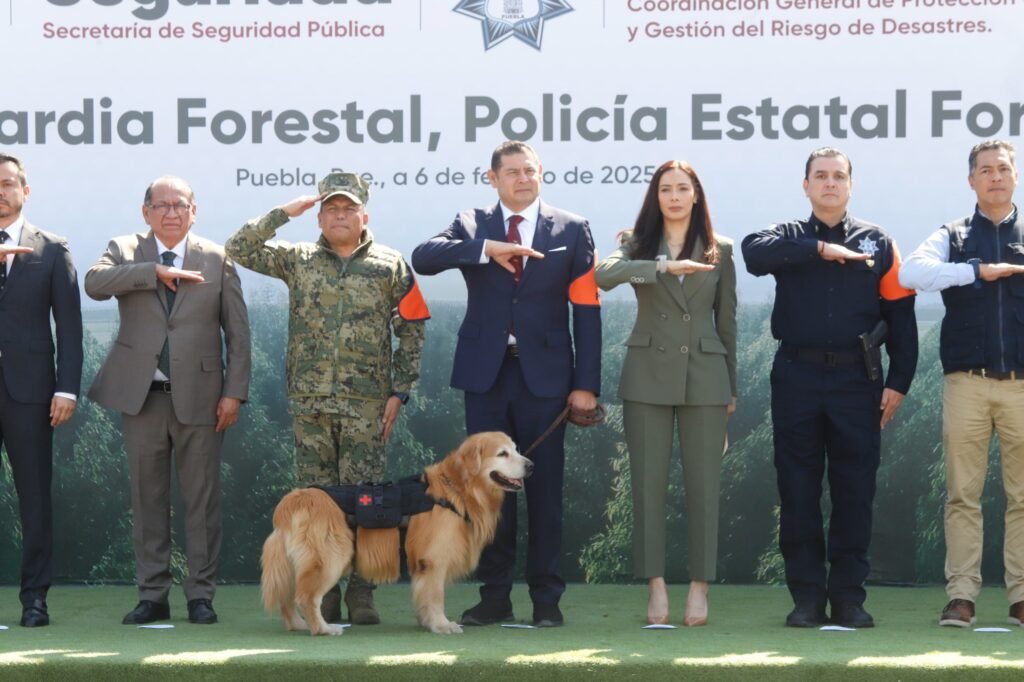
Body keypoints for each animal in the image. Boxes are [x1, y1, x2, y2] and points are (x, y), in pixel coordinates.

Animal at [260, 430, 532, 630]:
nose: (531, 465)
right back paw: (323, 628)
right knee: (305, 597)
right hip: (329, 557)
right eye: (502, 453)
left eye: (516, 449)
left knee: (287, 597)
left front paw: (426, 622)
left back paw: (299, 625)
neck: (457, 490)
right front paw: (442, 625)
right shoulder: (433, 560)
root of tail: (291, 501)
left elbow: (423, 595)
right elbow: (435, 595)